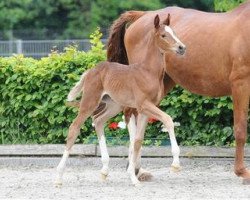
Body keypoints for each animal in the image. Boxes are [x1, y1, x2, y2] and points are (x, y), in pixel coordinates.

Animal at [56, 14, 186, 186]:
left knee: (98, 121)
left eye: (174, 32)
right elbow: (168, 120)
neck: (148, 72)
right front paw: (175, 164)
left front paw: (133, 176)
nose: (182, 48)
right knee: (74, 128)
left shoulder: (145, 110)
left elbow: (137, 141)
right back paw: (58, 177)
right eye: (164, 35)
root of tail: (91, 70)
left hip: (113, 105)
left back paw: (104, 170)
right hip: (90, 102)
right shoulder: (143, 105)